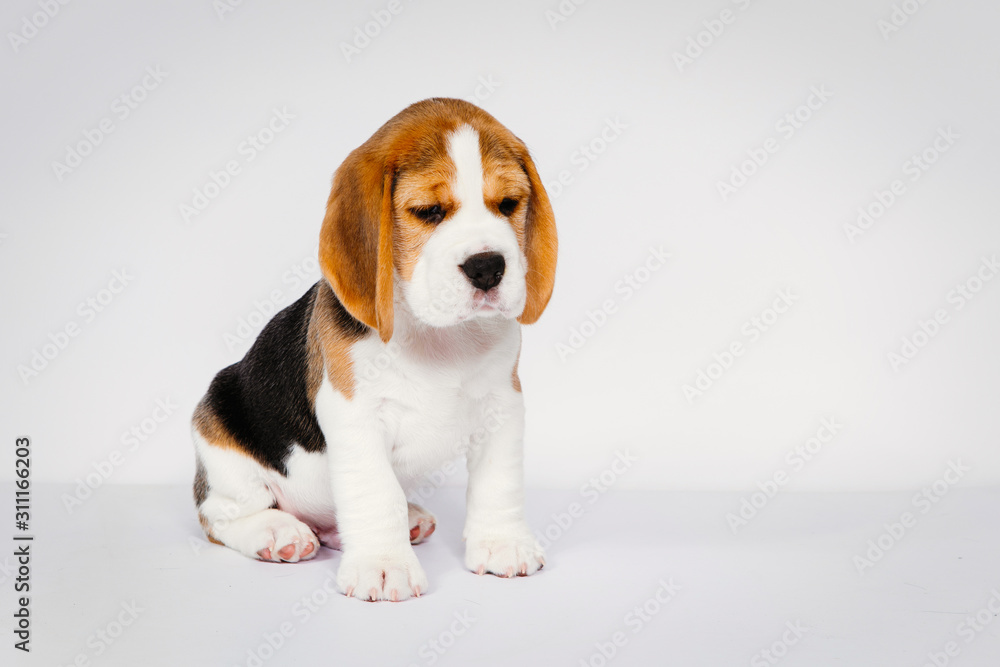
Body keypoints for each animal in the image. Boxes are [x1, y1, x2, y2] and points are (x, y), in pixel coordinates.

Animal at [191, 96, 560, 604]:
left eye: (508, 205)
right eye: (428, 211)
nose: (488, 267)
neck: (437, 334)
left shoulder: (502, 404)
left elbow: (498, 482)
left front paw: (503, 544)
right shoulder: (357, 416)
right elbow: (376, 492)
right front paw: (384, 567)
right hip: (221, 443)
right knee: (220, 517)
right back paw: (277, 533)